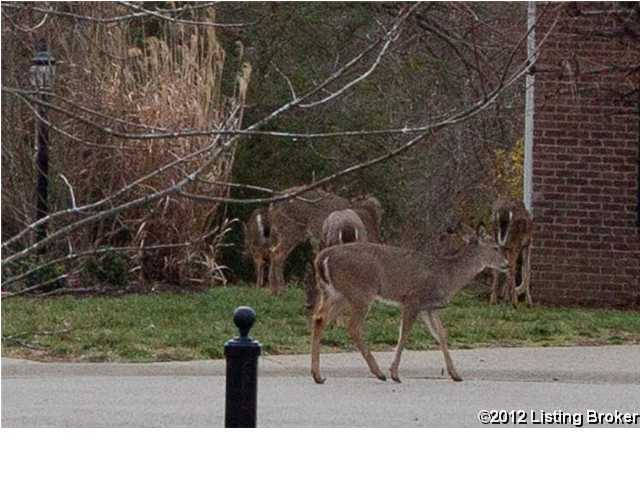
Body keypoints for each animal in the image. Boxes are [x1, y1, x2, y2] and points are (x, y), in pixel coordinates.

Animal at [310, 224, 508, 384]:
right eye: (495, 247)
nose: (506, 264)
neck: (448, 275)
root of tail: (322, 257)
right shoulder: (413, 299)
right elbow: (404, 334)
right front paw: (394, 373)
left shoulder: (429, 308)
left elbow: (441, 335)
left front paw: (455, 374)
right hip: (360, 292)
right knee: (352, 326)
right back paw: (379, 373)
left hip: (334, 293)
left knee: (319, 318)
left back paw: (317, 375)